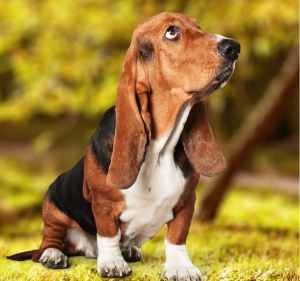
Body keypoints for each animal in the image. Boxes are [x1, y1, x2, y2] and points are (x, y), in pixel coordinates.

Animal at [7, 12, 240, 278]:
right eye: (171, 32)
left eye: (198, 28)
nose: (234, 47)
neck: (160, 151)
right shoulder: (103, 204)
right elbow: (108, 234)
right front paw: (112, 263)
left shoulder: (186, 202)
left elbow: (177, 238)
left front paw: (181, 267)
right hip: (53, 204)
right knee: (49, 241)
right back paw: (53, 255)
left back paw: (128, 249)